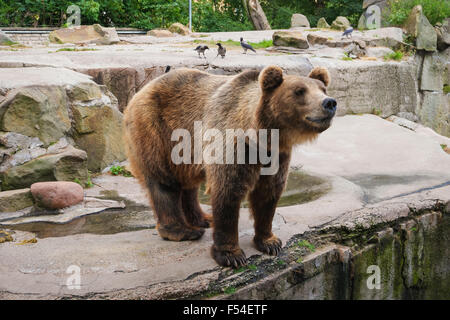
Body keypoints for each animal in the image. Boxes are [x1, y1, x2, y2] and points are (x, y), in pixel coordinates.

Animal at [123, 65, 334, 268]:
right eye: (299, 91)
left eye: (322, 89)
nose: (329, 103)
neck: (261, 135)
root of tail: (142, 90)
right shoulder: (231, 143)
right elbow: (228, 192)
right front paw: (231, 255)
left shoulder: (277, 155)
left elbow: (269, 192)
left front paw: (270, 242)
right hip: (157, 129)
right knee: (163, 181)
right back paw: (182, 231)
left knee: (188, 183)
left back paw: (203, 219)